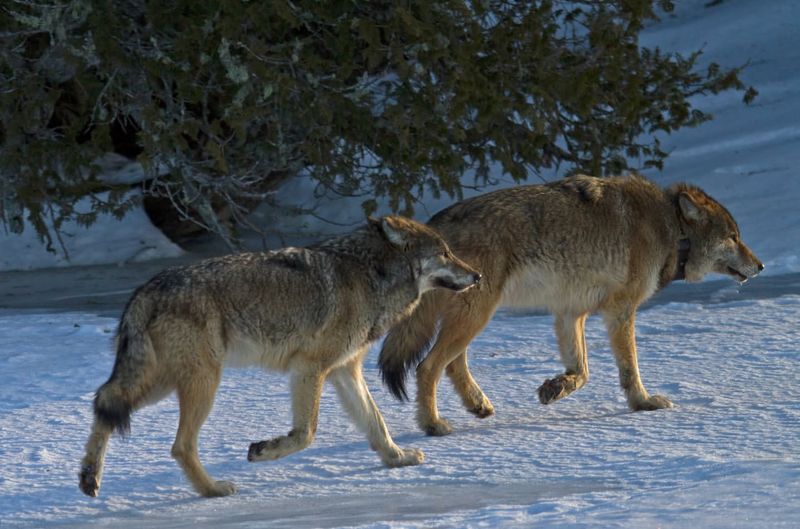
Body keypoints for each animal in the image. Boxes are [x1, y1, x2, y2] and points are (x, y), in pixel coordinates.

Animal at [78, 214, 482, 496]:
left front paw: (397, 459)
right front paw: (262, 451)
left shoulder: (344, 371)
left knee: (104, 400)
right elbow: (306, 433)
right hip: (201, 383)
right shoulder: (309, 368)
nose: (477, 275)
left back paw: (89, 478)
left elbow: (376, 423)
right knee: (178, 445)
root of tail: (144, 290)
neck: (372, 276)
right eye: (445, 253)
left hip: (165, 383)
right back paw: (212, 491)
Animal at [378, 175, 764, 436]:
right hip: (477, 315)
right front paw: (643, 404)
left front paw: (556, 387)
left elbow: (583, 371)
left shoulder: (570, 312)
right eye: (734, 238)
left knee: (453, 364)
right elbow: (630, 369)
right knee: (428, 366)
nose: (760, 266)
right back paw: (433, 425)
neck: (671, 229)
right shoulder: (620, 310)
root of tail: (436, 226)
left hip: (473, 317)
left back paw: (479, 405)